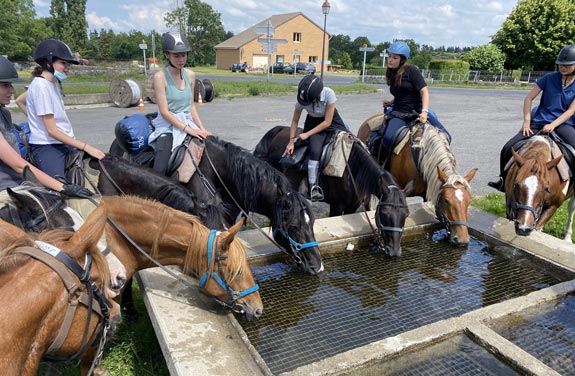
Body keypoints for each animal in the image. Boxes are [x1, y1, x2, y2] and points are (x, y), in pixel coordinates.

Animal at [253, 126, 414, 258]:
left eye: (406, 214)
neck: (352, 168)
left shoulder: (353, 206)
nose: (394, 251)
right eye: (384, 214)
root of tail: (277, 131)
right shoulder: (337, 206)